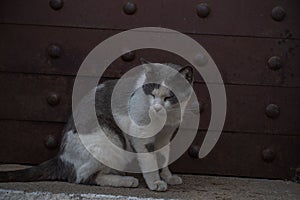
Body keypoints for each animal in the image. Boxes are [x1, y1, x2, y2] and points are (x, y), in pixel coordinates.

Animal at [0, 59, 195, 192]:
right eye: (152, 94)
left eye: (169, 96)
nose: (156, 108)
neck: (167, 118)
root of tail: (61, 158)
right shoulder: (141, 134)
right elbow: (150, 161)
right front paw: (155, 183)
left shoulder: (165, 137)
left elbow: (163, 158)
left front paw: (168, 177)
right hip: (111, 138)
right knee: (84, 178)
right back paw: (126, 181)